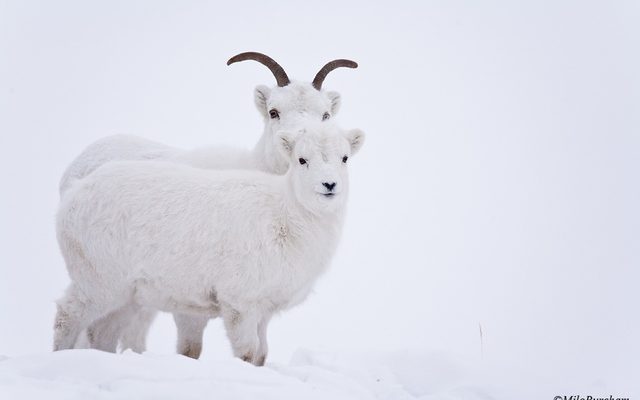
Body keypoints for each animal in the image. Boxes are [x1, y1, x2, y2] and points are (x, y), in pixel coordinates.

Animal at [59, 52, 359, 357]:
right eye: (274, 111)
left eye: (326, 115)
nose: (299, 138)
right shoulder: (200, 303)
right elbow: (192, 349)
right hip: (102, 282)